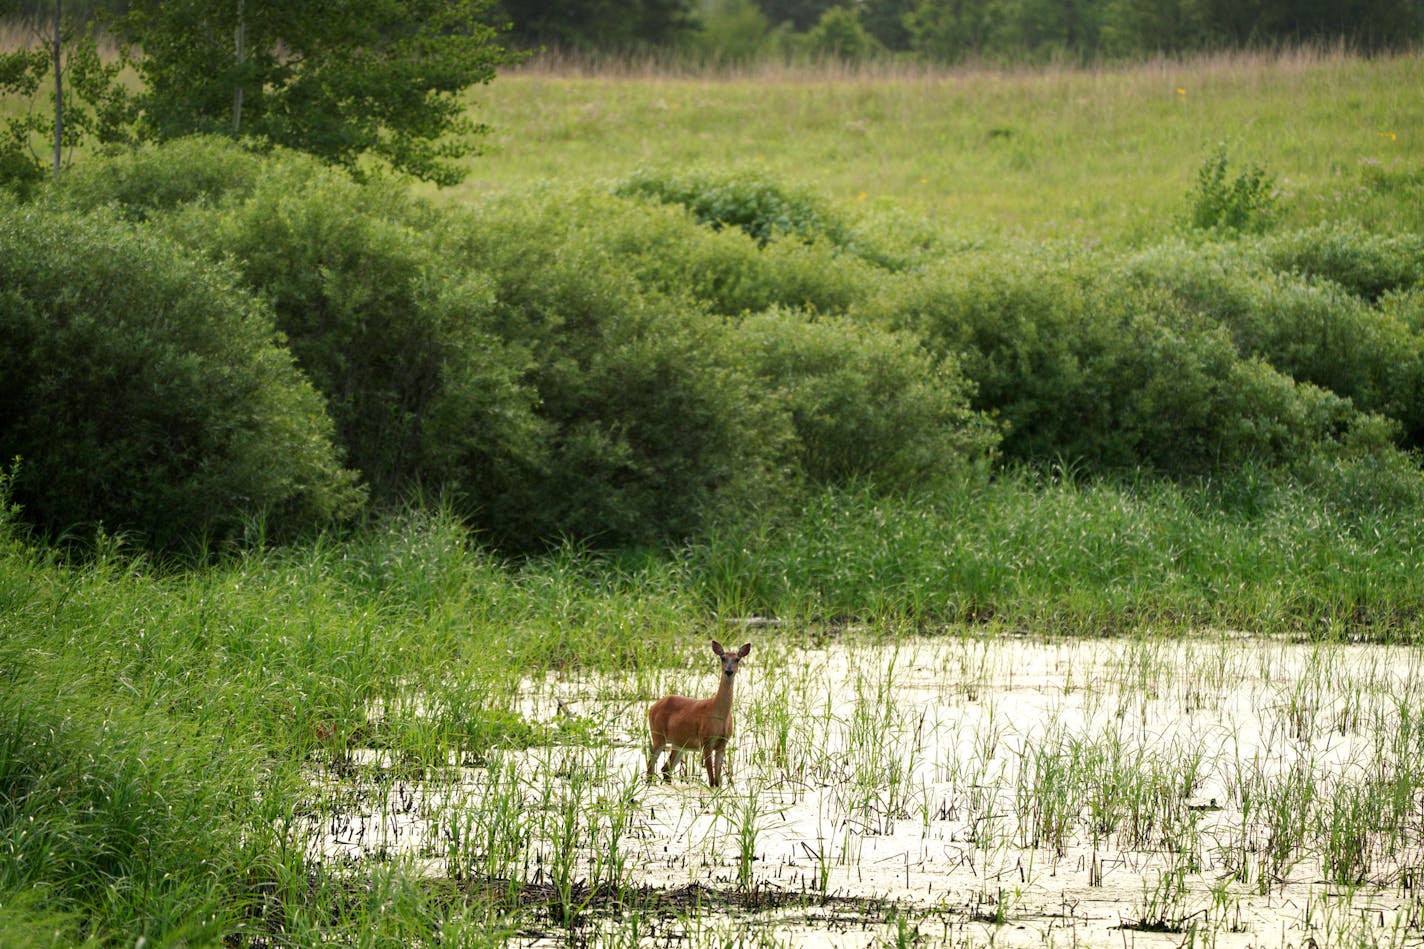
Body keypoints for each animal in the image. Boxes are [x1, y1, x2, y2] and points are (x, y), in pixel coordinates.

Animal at [649, 638, 751, 786]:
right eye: (722, 658)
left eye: (737, 659)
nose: (729, 671)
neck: (719, 714)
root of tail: (652, 707)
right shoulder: (706, 740)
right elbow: (711, 779)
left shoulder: (722, 743)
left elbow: (717, 780)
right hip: (658, 735)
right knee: (650, 767)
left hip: (679, 744)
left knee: (665, 769)